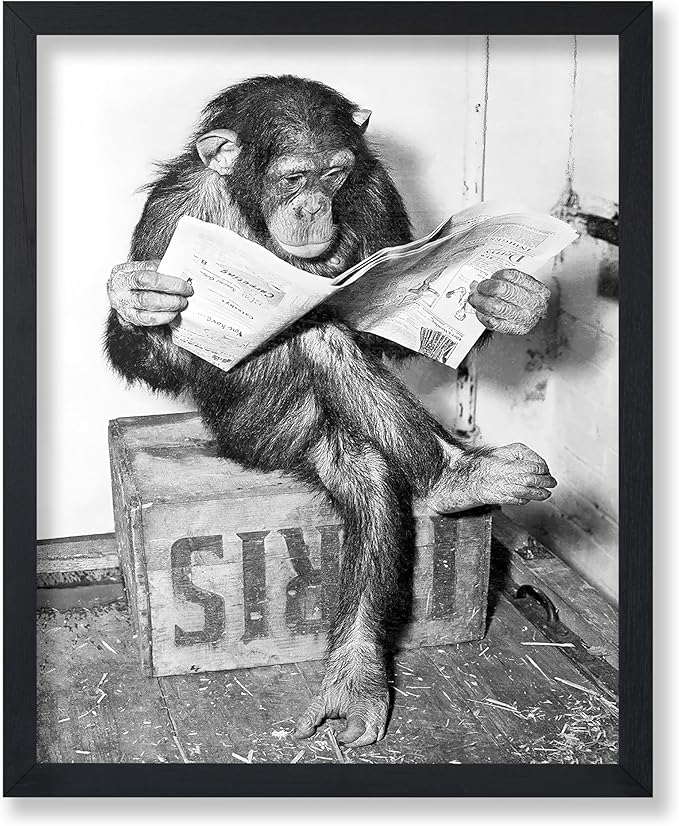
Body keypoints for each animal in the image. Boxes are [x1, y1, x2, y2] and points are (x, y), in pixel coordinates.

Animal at [106, 75, 554, 748]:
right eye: (294, 177)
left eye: (335, 174)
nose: (315, 206)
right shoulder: (169, 212)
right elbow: (159, 354)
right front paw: (137, 298)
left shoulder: (375, 192)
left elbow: (380, 328)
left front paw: (506, 298)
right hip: (262, 433)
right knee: (316, 347)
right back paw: (454, 480)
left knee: (361, 452)